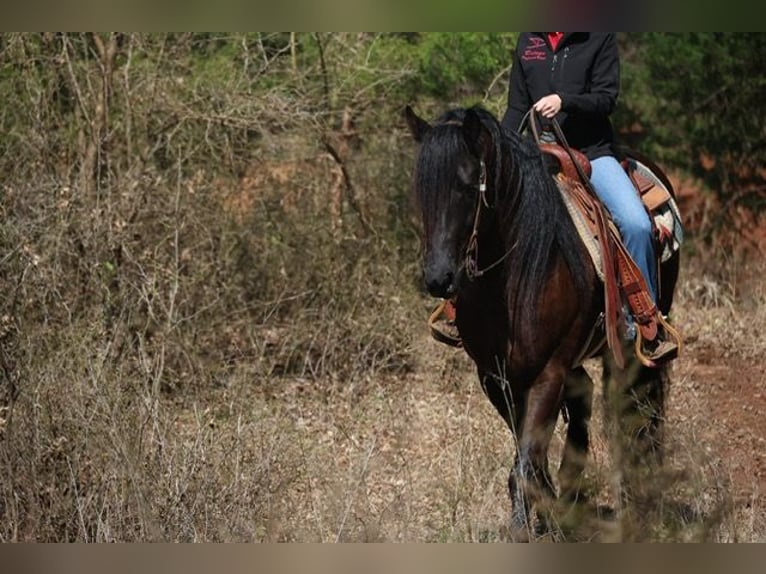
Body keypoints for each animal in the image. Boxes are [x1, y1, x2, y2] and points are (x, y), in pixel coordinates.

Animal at [404, 104, 680, 541]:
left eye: (467, 187)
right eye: (422, 190)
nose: (438, 279)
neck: (510, 280)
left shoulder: (546, 374)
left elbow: (526, 464)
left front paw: (526, 529)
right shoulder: (496, 378)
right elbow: (528, 459)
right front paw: (550, 514)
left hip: (626, 353)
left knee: (633, 413)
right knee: (584, 399)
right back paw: (571, 494)